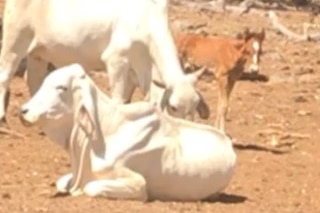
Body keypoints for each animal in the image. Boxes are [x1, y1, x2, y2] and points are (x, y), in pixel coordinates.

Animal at [0, 0, 209, 126]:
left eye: (194, 107)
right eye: (173, 107)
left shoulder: (135, 72)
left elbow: (130, 100)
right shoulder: (116, 59)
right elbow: (117, 99)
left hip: (39, 54)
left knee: (34, 79)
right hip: (14, 41)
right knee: (5, 77)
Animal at [19, 63, 235, 201]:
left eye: (61, 88)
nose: (23, 111)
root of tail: (227, 142)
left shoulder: (138, 184)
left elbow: (91, 187)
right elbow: (62, 181)